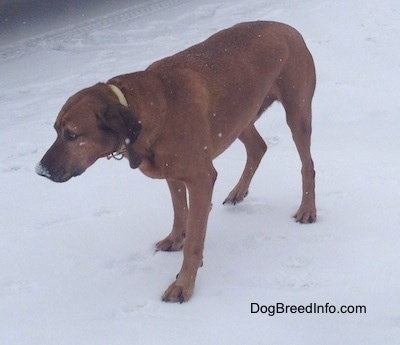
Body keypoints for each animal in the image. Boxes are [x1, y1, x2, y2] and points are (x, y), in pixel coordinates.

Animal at [36, 20, 316, 300]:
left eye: (72, 135)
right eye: (56, 130)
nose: (41, 171)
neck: (140, 108)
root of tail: (287, 28)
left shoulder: (201, 179)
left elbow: (194, 239)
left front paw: (184, 284)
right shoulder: (171, 173)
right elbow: (180, 211)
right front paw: (175, 238)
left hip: (296, 110)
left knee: (307, 165)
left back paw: (307, 209)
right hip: (240, 115)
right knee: (258, 147)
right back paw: (239, 191)